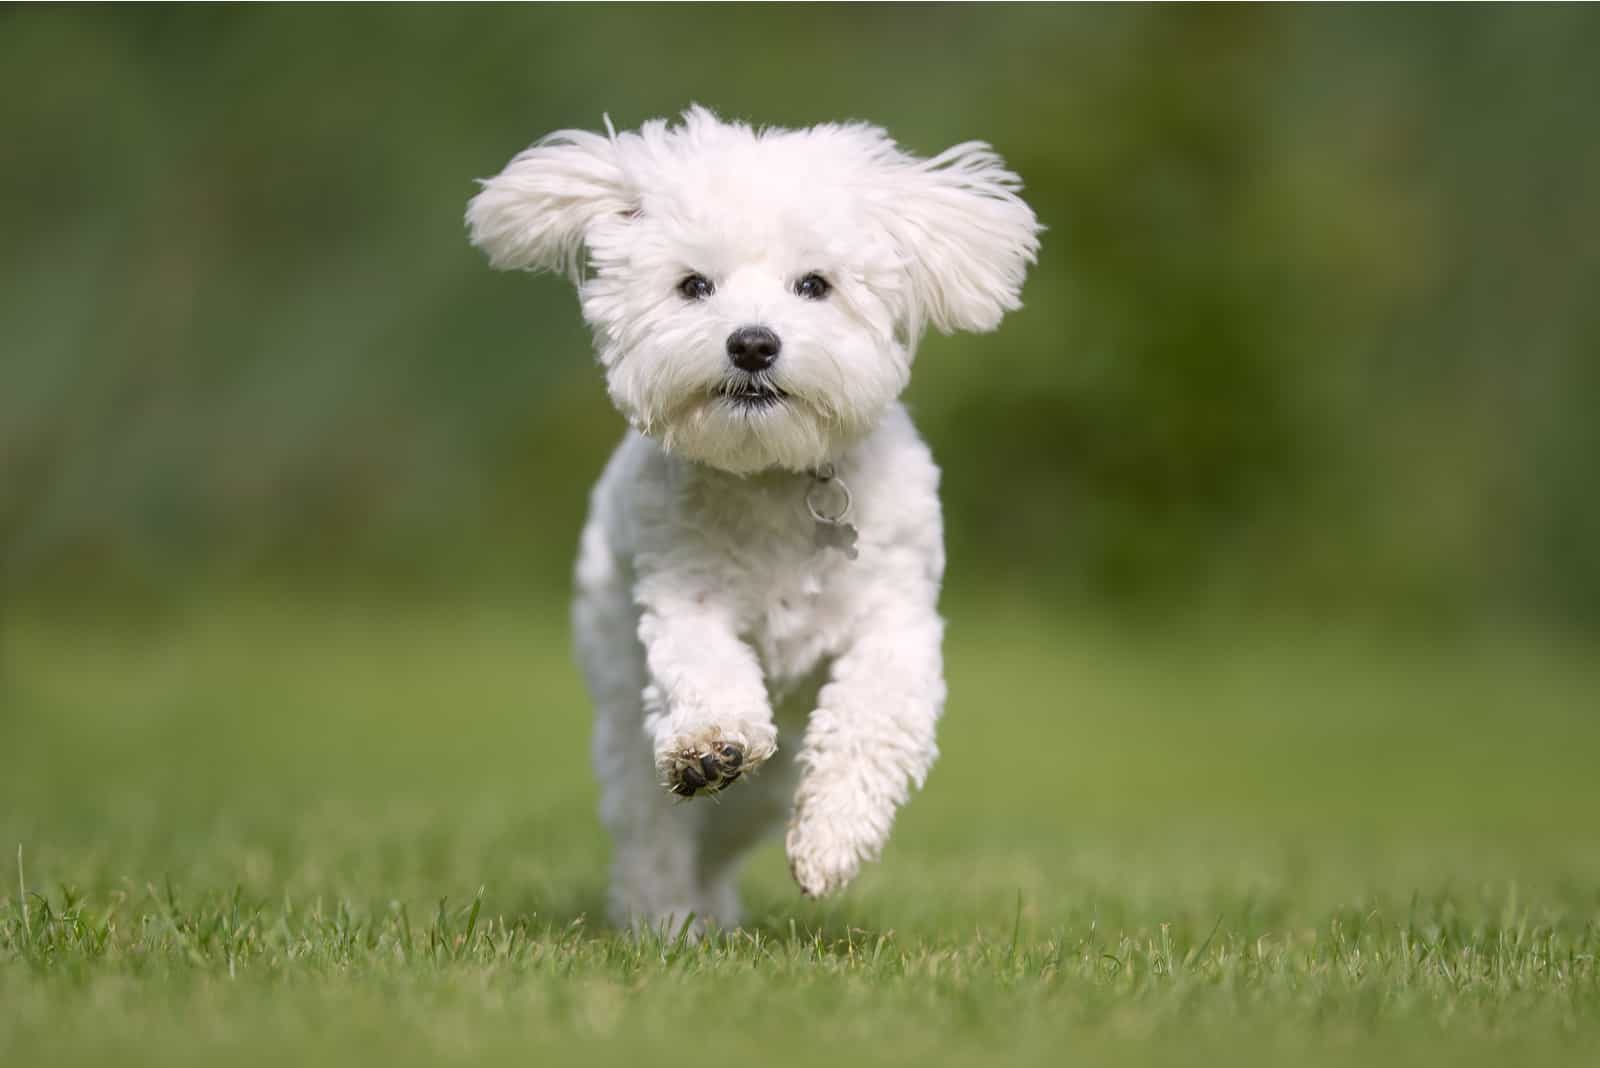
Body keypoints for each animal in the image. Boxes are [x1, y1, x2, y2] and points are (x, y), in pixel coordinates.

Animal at [467, 103, 1036, 927]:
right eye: (694, 285)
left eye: (815, 284)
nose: (753, 343)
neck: (770, 475)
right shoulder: (681, 597)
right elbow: (705, 669)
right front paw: (710, 746)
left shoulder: (897, 623)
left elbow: (873, 713)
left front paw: (832, 838)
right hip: (623, 704)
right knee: (653, 824)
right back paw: (664, 919)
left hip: (770, 782)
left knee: (729, 826)